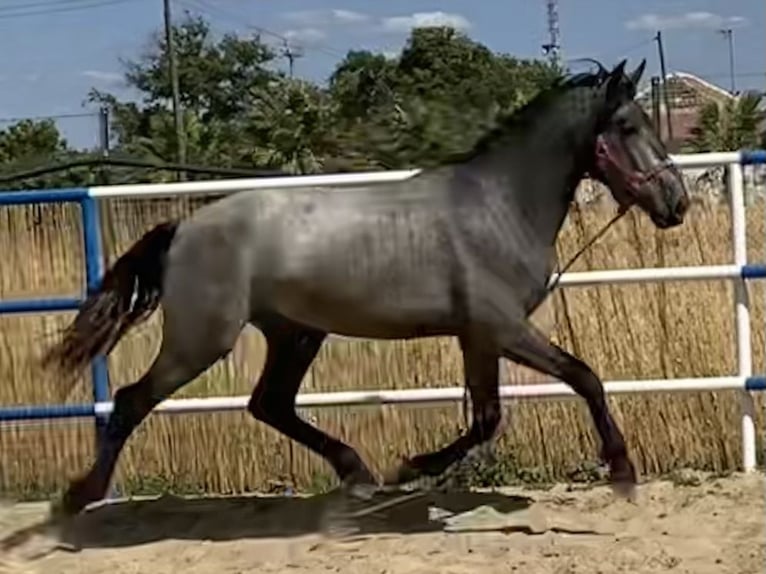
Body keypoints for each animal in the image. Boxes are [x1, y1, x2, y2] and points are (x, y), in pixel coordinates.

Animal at [45, 58, 692, 516]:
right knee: (133, 399)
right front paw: (622, 472)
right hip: (202, 340)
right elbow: (583, 377)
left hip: (296, 334)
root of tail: (184, 226)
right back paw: (79, 498)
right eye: (628, 125)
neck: (498, 206)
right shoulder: (503, 327)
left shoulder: (478, 336)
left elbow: (487, 416)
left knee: (269, 404)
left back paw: (357, 473)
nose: (676, 203)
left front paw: (412, 467)